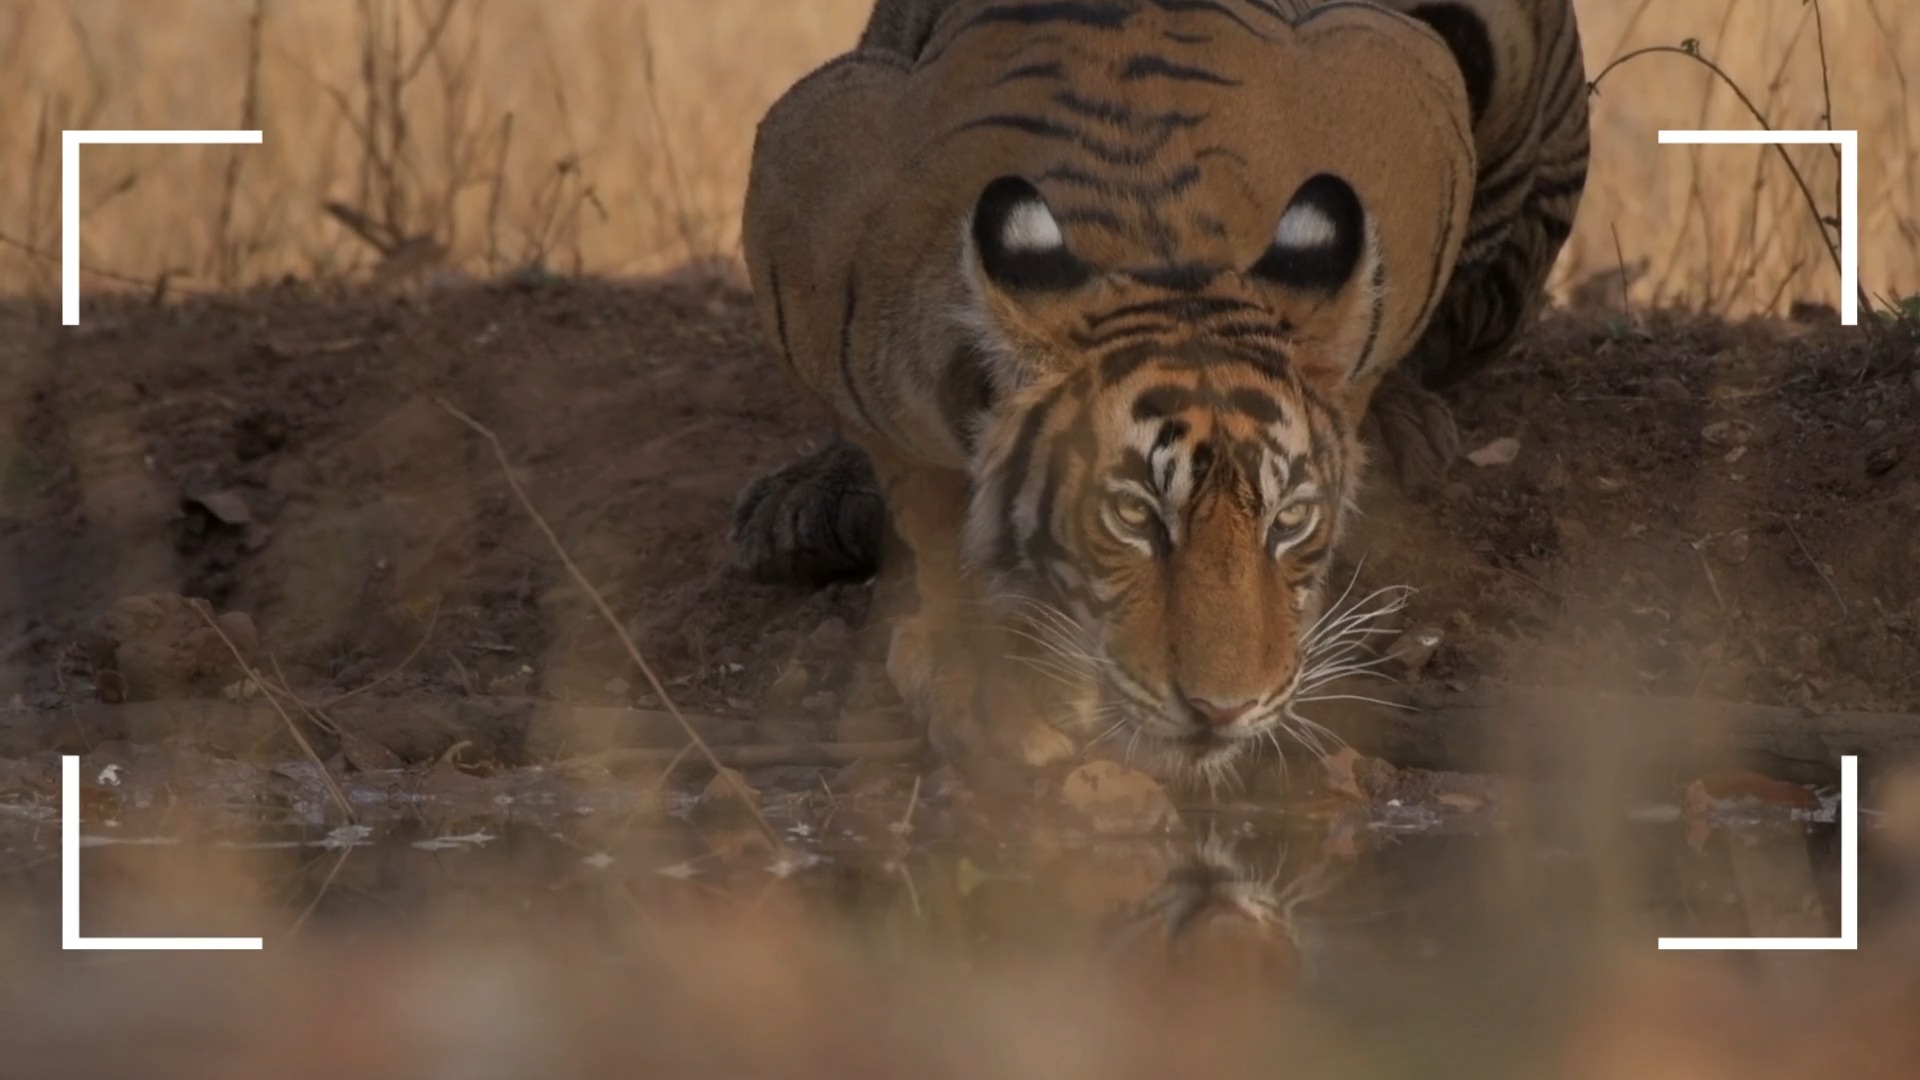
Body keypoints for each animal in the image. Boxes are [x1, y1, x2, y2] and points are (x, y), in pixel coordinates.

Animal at [737, 0, 1583, 780]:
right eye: (1133, 519)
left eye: (1289, 520)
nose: (1226, 708)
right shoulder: (806, 173)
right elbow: (930, 504)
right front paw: (980, 670)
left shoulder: (1404, 84)